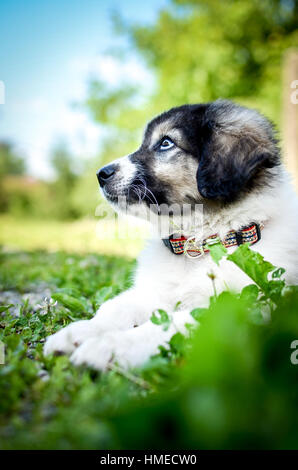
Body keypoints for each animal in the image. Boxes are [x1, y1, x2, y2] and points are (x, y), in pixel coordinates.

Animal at [43, 100, 298, 370]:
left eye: (166, 143)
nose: (101, 174)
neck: (197, 244)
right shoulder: (153, 293)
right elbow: (115, 308)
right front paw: (78, 333)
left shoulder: (242, 308)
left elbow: (169, 325)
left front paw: (110, 346)